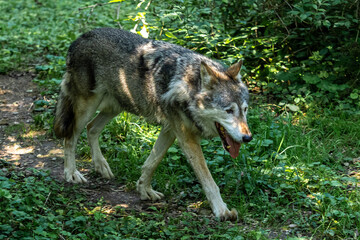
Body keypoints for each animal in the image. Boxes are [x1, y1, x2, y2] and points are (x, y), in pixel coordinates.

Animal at [53, 28, 252, 221]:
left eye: (245, 110)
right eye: (229, 110)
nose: (248, 138)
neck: (189, 88)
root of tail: (80, 38)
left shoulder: (170, 130)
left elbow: (151, 163)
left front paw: (144, 190)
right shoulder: (186, 137)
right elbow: (208, 180)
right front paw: (222, 210)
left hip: (114, 107)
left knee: (92, 128)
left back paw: (101, 166)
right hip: (87, 107)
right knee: (70, 137)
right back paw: (71, 173)